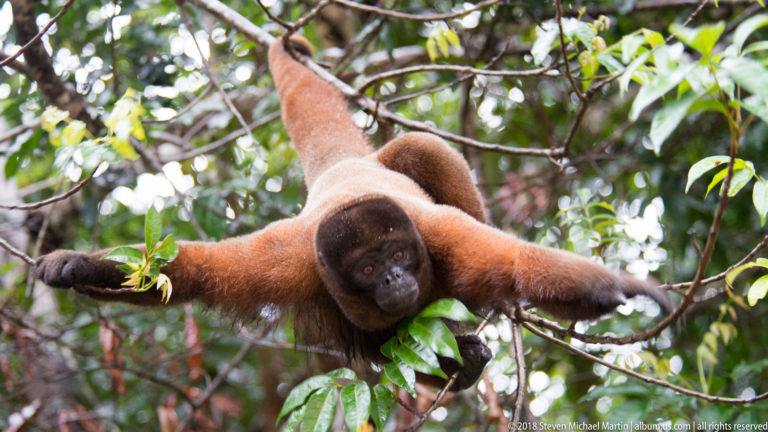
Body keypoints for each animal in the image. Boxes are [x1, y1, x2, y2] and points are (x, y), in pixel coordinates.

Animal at [35, 36, 672, 391]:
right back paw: (459, 365)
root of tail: (341, 171)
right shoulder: (285, 265)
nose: (393, 279)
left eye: (398, 255)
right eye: (367, 270)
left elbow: (513, 261)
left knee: (423, 146)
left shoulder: (444, 240)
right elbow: (189, 272)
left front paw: (621, 287)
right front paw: (78, 266)